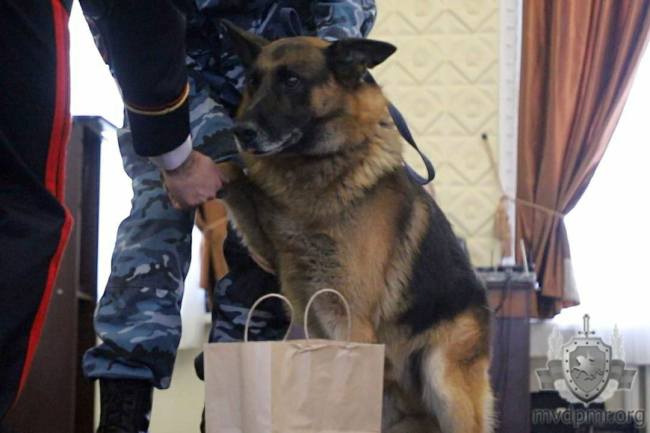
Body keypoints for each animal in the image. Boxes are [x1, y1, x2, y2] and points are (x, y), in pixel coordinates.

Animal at [216, 21, 495, 433]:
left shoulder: (349, 320)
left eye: (292, 80)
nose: (241, 131)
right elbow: (236, 179)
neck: (318, 171)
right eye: (253, 81)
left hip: (444, 383)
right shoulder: (287, 275)